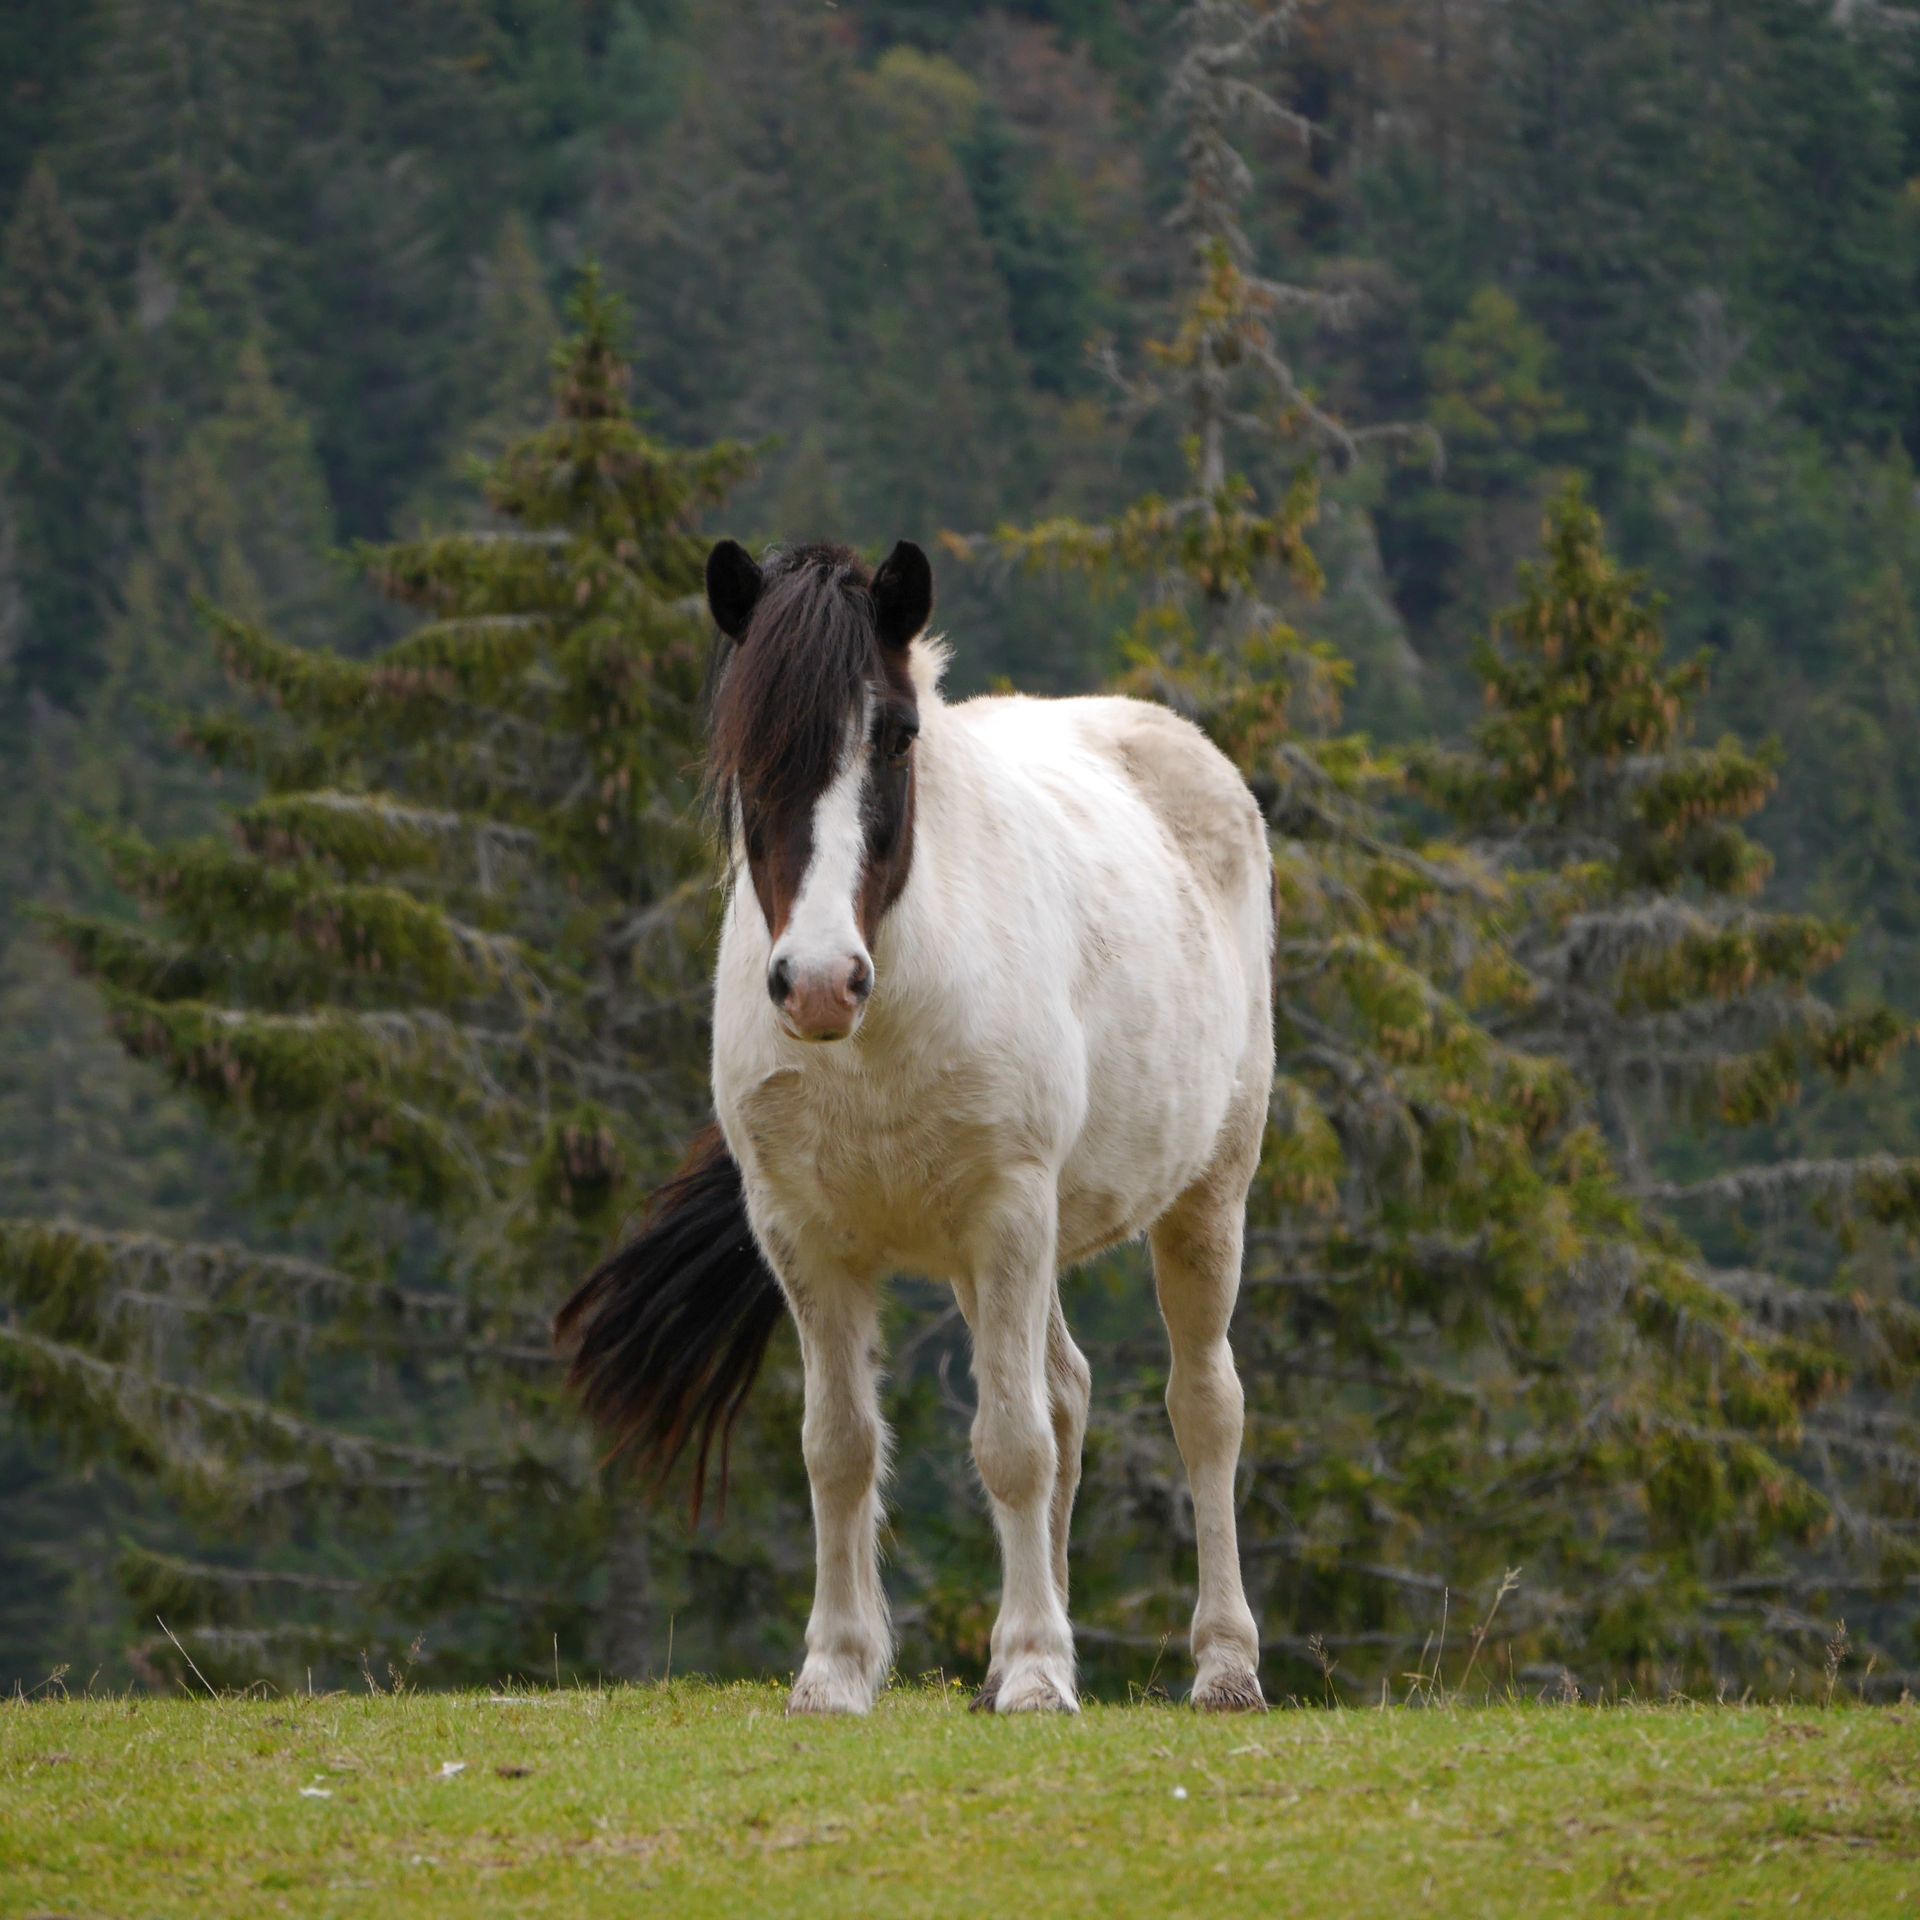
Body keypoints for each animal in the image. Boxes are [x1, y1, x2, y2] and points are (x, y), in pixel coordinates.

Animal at [555, 538, 1275, 1715]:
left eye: (894, 736)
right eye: (746, 749)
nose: (816, 983)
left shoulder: (1008, 1212)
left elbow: (1012, 1443)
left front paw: (1034, 1672)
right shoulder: (806, 1239)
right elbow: (841, 1447)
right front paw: (840, 1671)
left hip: (1204, 1199)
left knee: (1203, 1404)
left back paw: (1223, 1664)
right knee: (1067, 1390)